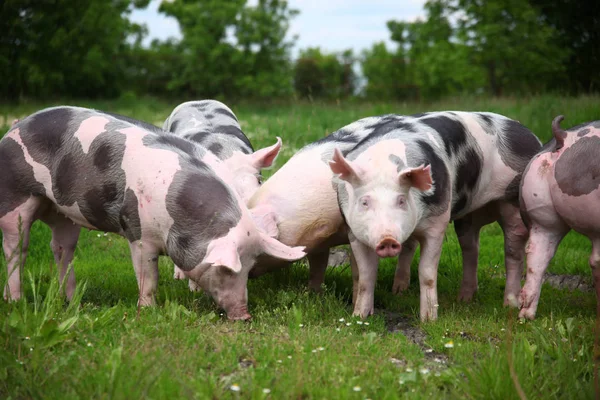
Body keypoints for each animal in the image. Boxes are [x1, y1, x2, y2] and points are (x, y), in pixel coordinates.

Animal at [251, 112, 540, 322]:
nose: (387, 240)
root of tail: (529, 132)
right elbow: (332, 267)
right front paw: (326, 299)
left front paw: (427, 320)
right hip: (466, 217)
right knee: (469, 249)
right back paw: (452, 297)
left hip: (511, 203)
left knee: (512, 251)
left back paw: (509, 306)